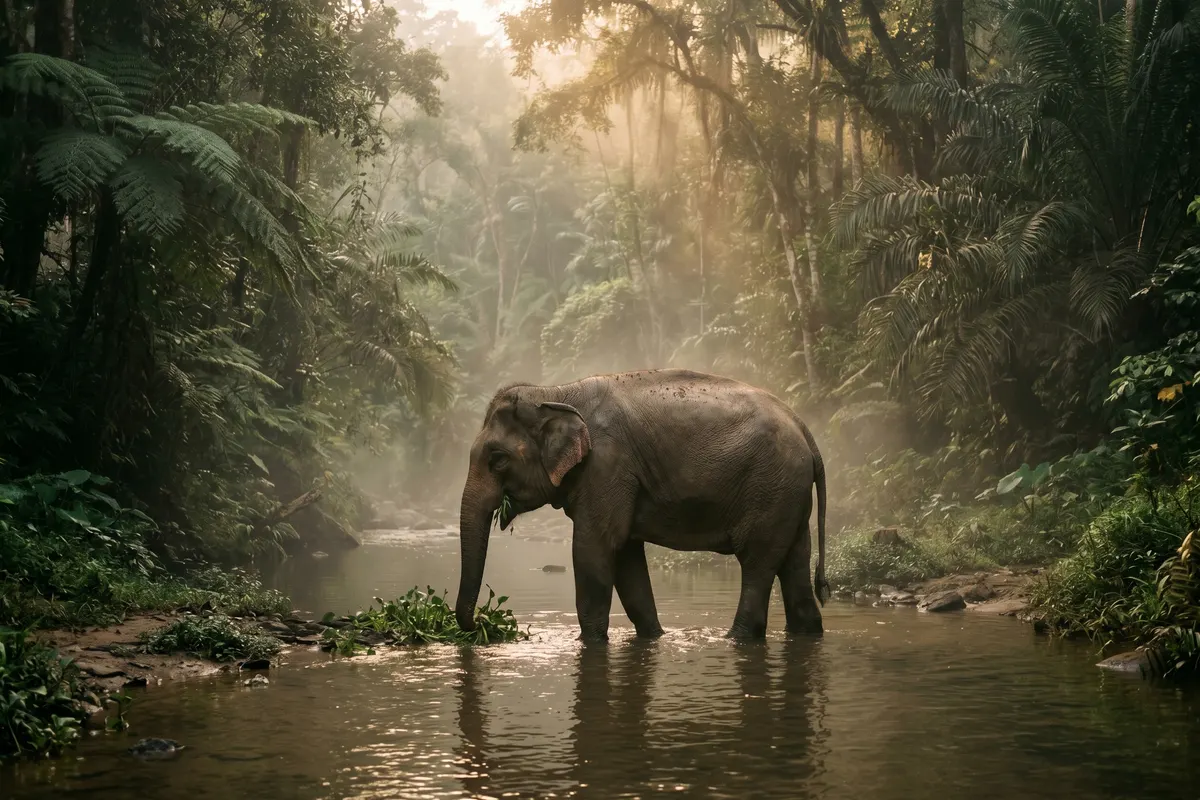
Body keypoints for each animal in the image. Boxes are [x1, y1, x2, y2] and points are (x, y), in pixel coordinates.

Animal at [453, 368, 831, 642]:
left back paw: (735, 638)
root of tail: (806, 431)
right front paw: (653, 638)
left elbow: (594, 550)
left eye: (498, 460)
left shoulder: (607, 466)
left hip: (771, 487)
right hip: (788, 495)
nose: (481, 623)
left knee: (757, 563)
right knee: (794, 566)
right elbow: (627, 560)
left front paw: (588, 642)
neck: (555, 393)